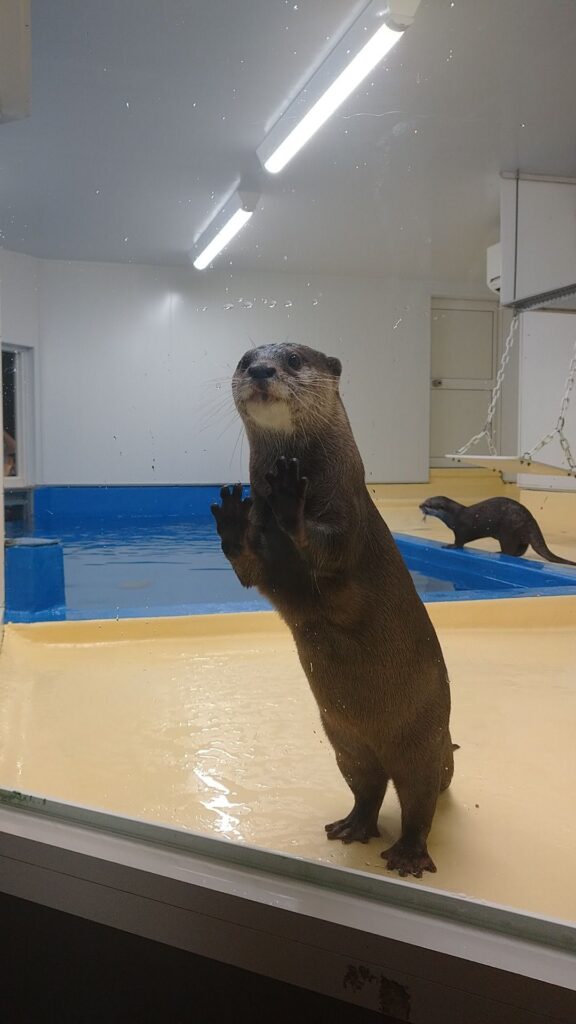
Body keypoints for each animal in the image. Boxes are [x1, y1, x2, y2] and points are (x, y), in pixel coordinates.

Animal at [210, 344, 453, 880]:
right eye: (244, 359)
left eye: (294, 359)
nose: (262, 370)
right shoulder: (271, 569)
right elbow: (251, 569)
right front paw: (235, 520)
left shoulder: (348, 520)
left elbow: (329, 546)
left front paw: (289, 501)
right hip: (347, 746)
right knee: (368, 787)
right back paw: (353, 826)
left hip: (423, 745)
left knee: (419, 802)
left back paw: (408, 854)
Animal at [416, 495, 573, 569]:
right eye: (425, 500)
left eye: (428, 504)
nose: (419, 505)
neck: (455, 516)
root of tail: (530, 519)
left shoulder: (461, 529)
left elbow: (459, 542)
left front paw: (450, 545)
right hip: (519, 533)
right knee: (521, 549)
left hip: (507, 532)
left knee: (510, 549)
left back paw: (499, 552)